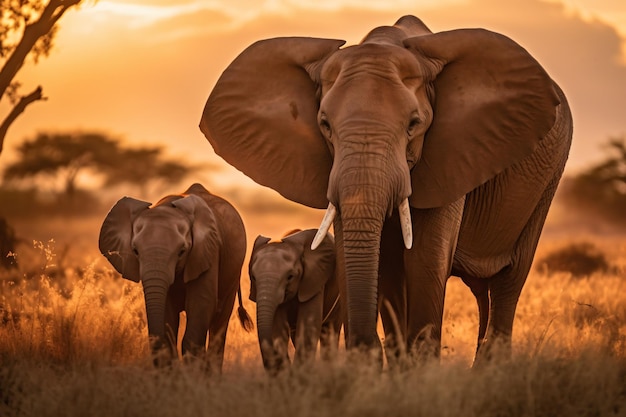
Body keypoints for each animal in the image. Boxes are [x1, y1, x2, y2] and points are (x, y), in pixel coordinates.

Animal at [98, 184, 252, 368]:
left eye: (182, 251)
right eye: (135, 251)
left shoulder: (208, 251)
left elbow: (201, 304)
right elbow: (166, 311)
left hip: (234, 273)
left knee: (220, 321)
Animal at [247, 228, 342, 370]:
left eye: (290, 277)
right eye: (253, 277)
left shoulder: (314, 280)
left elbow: (308, 325)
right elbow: (278, 328)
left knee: (330, 329)